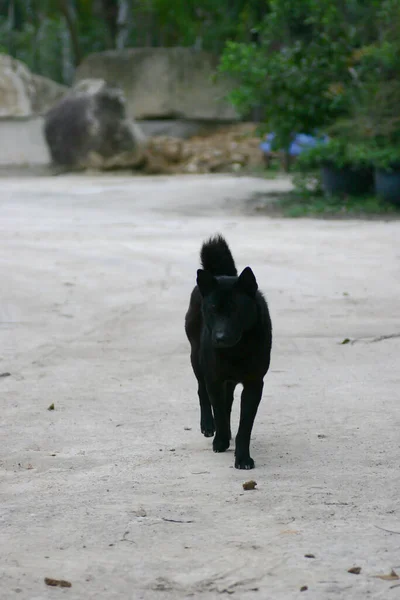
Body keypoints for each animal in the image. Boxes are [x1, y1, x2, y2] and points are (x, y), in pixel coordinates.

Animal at [184, 234, 272, 468]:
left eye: (236, 310)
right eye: (213, 310)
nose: (220, 338)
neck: (236, 350)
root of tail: (219, 274)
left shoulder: (254, 384)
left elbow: (245, 426)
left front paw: (242, 458)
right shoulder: (214, 378)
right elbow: (219, 411)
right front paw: (221, 441)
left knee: (228, 401)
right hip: (196, 360)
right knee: (202, 392)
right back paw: (208, 426)